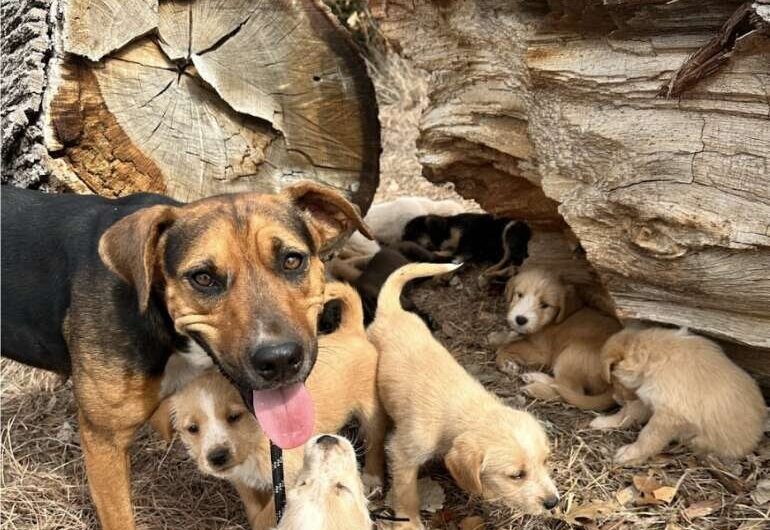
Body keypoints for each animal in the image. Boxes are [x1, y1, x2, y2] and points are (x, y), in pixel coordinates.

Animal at [169, 278, 384, 524]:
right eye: (192, 429)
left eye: (234, 417)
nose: (217, 457)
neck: (257, 441)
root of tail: (351, 330)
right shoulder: (242, 481)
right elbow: (254, 509)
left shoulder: (289, 479)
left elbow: (267, 514)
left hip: (371, 412)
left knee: (375, 441)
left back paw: (372, 478)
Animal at [368, 262, 560, 524]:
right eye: (516, 475)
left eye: (545, 461)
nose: (553, 503)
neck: (465, 408)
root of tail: (392, 311)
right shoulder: (403, 453)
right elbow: (406, 494)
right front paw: (410, 522)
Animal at [496, 268, 620, 408]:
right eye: (520, 295)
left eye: (545, 305)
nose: (520, 319)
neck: (549, 322)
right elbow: (509, 340)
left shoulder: (541, 352)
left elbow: (507, 347)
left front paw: (505, 362)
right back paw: (535, 377)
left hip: (570, 357)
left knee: (569, 391)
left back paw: (535, 388)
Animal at [588, 326, 760, 462]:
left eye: (613, 381)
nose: (615, 399)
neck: (654, 356)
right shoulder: (648, 400)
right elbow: (627, 414)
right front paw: (606, 422)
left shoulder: (669, 415)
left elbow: (648, 437)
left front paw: (630, 454)